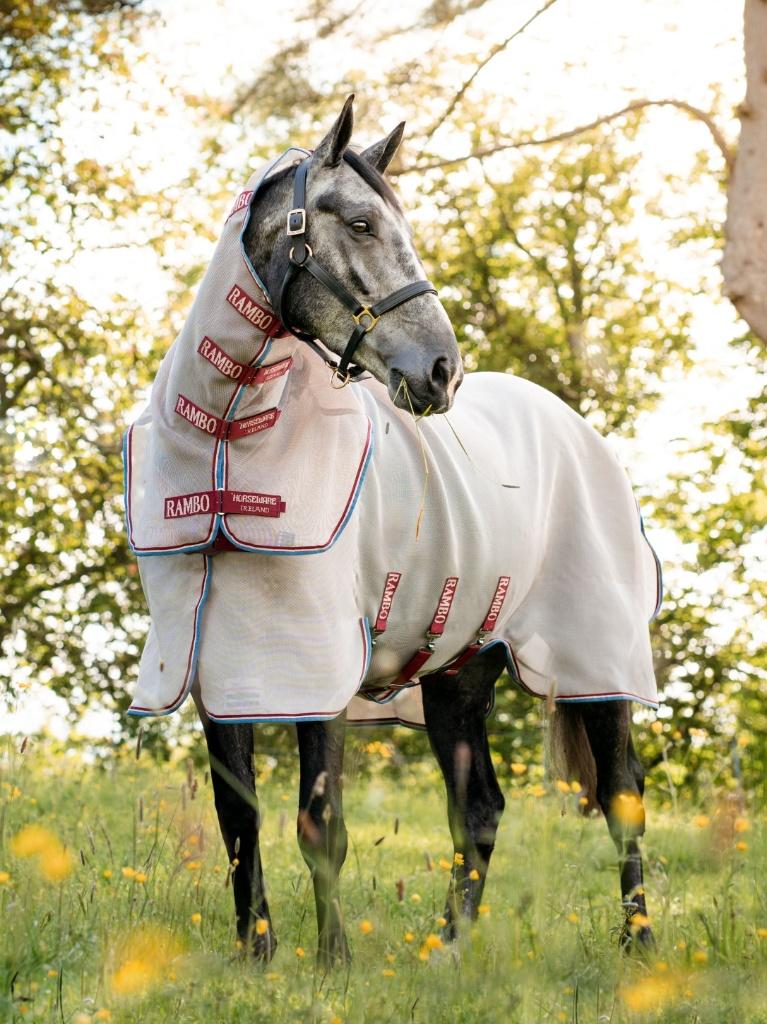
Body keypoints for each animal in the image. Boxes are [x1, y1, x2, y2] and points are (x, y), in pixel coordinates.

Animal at [125, 96, 660, 966]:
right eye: (361, 223)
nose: (442, 371)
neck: (231, 442)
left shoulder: (319, 667)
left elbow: (320, 823)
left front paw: (332, 964)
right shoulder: (214, 668)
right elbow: (239, 821)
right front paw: (256, 956)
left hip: (597, 661)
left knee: (621, 797)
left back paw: (637, 944)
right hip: (457, 674)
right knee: (478, 810)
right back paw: (446, 952)